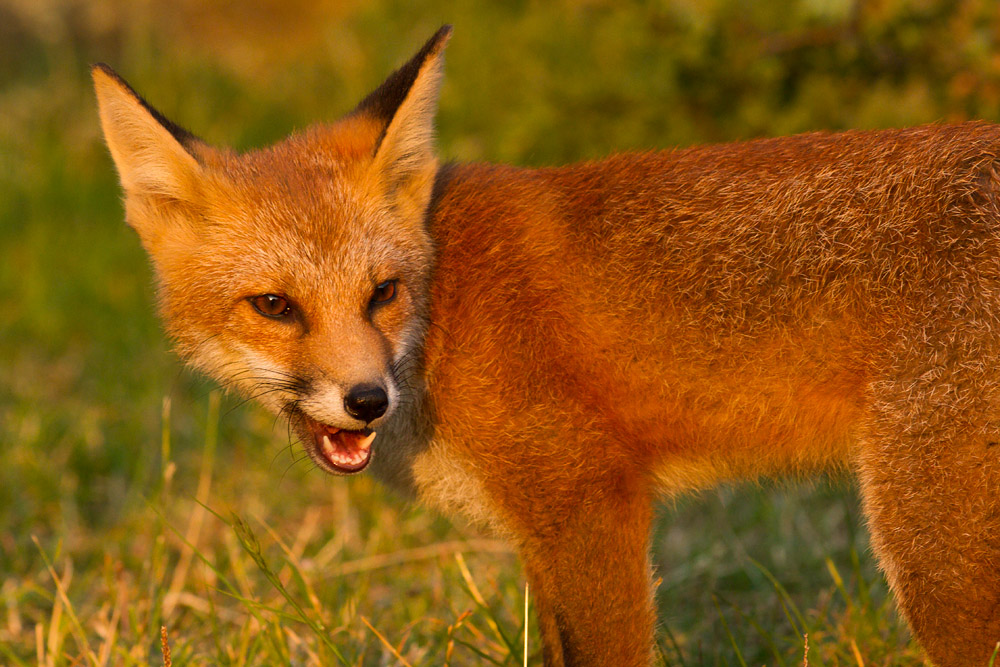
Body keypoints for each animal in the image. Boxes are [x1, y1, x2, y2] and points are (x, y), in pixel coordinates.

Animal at [91, 24, 1000, 666]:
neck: (444, 315)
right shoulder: (542, 540)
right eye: (275, 306)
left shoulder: (589, 502)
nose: (367, 400)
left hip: (933, 561)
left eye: (382, 292)